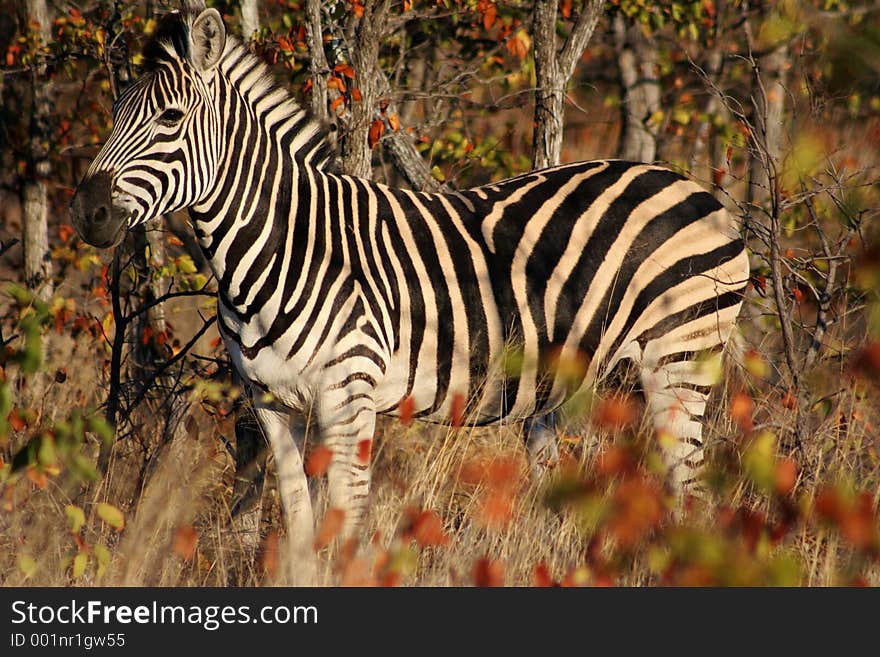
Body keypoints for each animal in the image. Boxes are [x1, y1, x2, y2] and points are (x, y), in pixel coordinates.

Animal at [70, 5, 748, 580]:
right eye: (113, 113)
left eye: (170, 119)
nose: (86, 211)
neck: (283, 248)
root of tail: (696, 188)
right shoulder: (273, 405)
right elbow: (300, 533)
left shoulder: (349, 397)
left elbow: (346, 531)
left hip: (679, 362)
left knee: (691, 498)